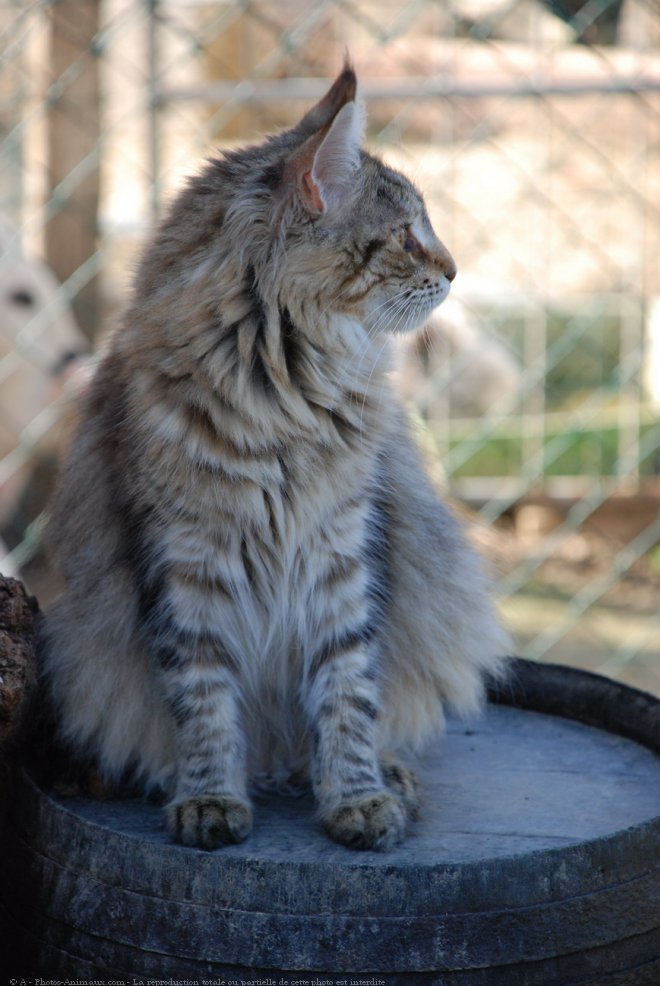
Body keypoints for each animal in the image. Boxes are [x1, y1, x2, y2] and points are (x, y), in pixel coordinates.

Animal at [38, 61, 508, 848]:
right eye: (407, 235)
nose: (454, 269)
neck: (281, 396)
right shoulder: (185, 563)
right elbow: (204, 700)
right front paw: (208, 798)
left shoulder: (342, 552)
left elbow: (348, 691)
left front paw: (357, 796)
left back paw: (385, 777)